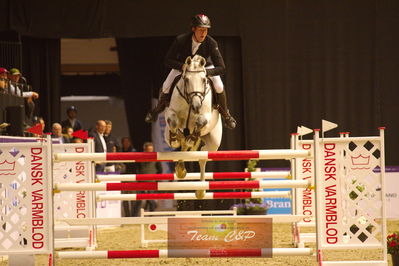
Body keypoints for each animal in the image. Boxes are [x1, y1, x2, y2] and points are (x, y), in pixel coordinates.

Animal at [164, 55, 223, 198]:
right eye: (186, 80)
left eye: (203, 80)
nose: (196, 106)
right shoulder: (171, 113)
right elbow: (173, 121)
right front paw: (175, 140)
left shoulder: (205, 116)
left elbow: (200, 122)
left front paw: (192, 137)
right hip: (169, 136)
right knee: (183, 146)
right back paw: (180, 169)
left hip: (213, 144)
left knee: (202, 156)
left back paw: (201, 190)